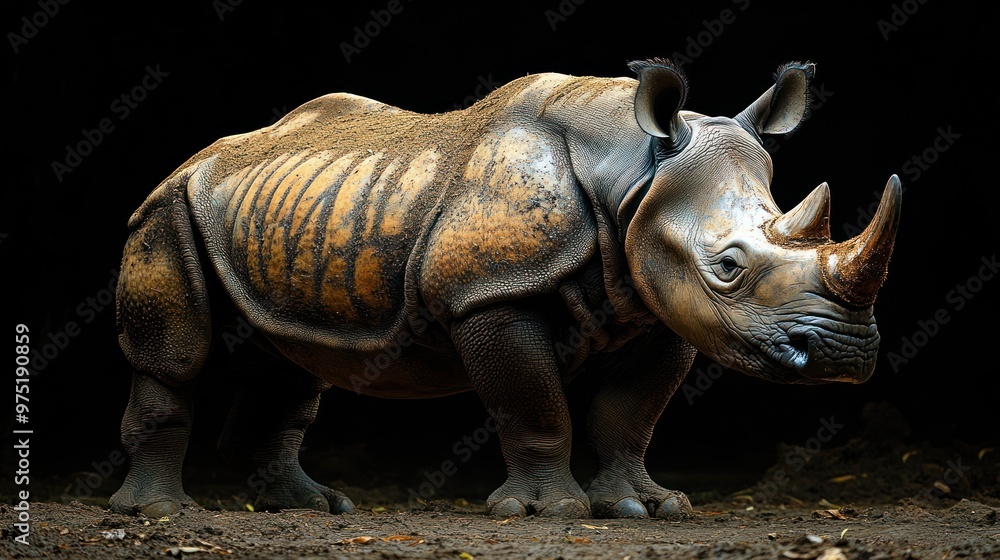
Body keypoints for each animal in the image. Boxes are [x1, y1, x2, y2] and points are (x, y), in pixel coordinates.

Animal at [111, 58, 900, 519]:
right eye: (728, 267)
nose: (845, 357)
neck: (632, 174)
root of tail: (201, 156)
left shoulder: (663, 300)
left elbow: (630, 413)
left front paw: (649, 507)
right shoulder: (489, 292)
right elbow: (532, 401)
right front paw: (548, 513)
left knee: (294, 360)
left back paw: (311, 507)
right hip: (166, 207)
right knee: (175, 356)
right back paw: (158, 514)